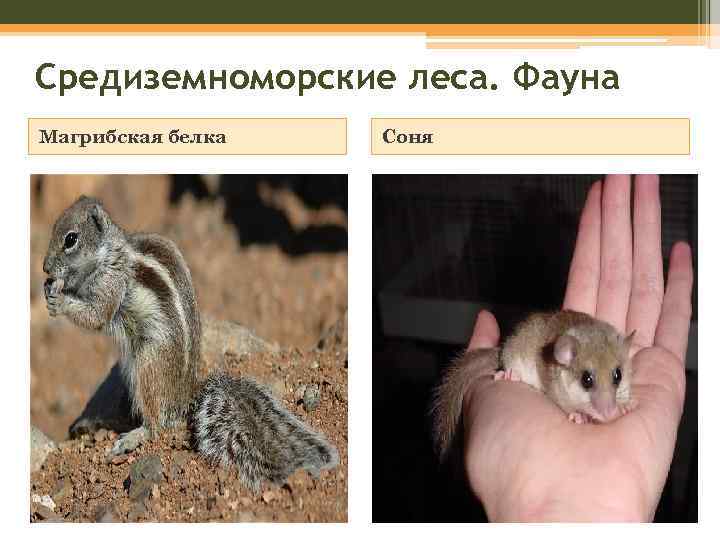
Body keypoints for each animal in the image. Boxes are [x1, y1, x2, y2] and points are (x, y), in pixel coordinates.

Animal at [42, 195, 338, 493]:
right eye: (53, 227)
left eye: (71, 239)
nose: (44, 268)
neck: (107, 253)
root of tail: (186, 396)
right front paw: (50, 289)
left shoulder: (112, 281)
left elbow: (97, 316)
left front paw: (60, 298)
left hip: (148, 364)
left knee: (157, 425)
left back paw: (133, 436)